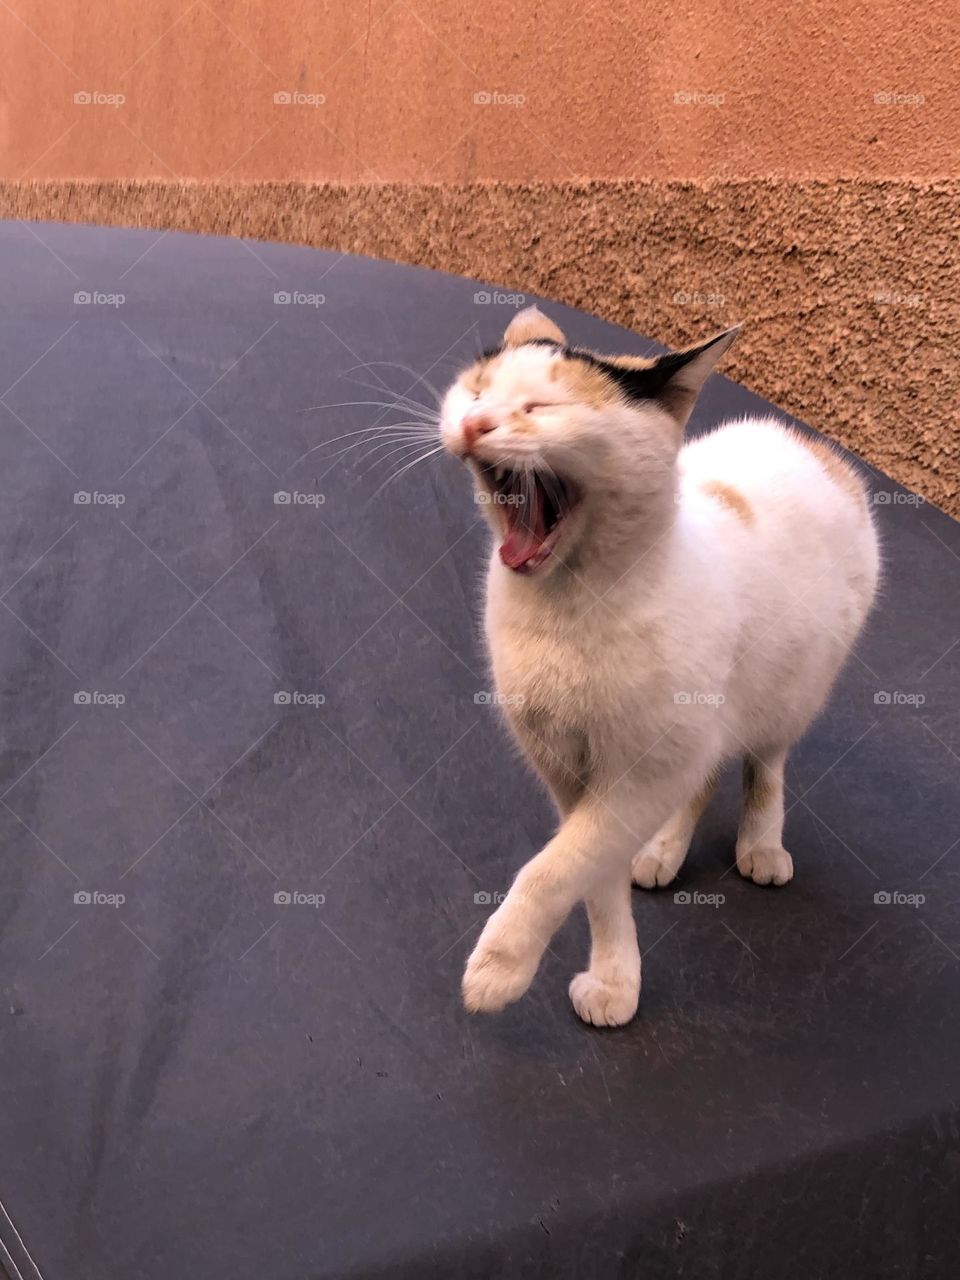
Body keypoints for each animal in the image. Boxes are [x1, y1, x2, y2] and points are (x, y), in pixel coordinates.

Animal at [440, 304, 885, 1024]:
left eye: (542, 406)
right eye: (477, 390)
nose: (476, 423)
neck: (568, 608)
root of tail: (808, 443)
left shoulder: (641, 775)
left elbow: (553, 868)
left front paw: (500, 967)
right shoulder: (567, 771)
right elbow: (591, 875)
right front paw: (615, 976)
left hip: (788, 695)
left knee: (765, 765)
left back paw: (761, 844)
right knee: (703, 777)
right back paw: (663, 849)